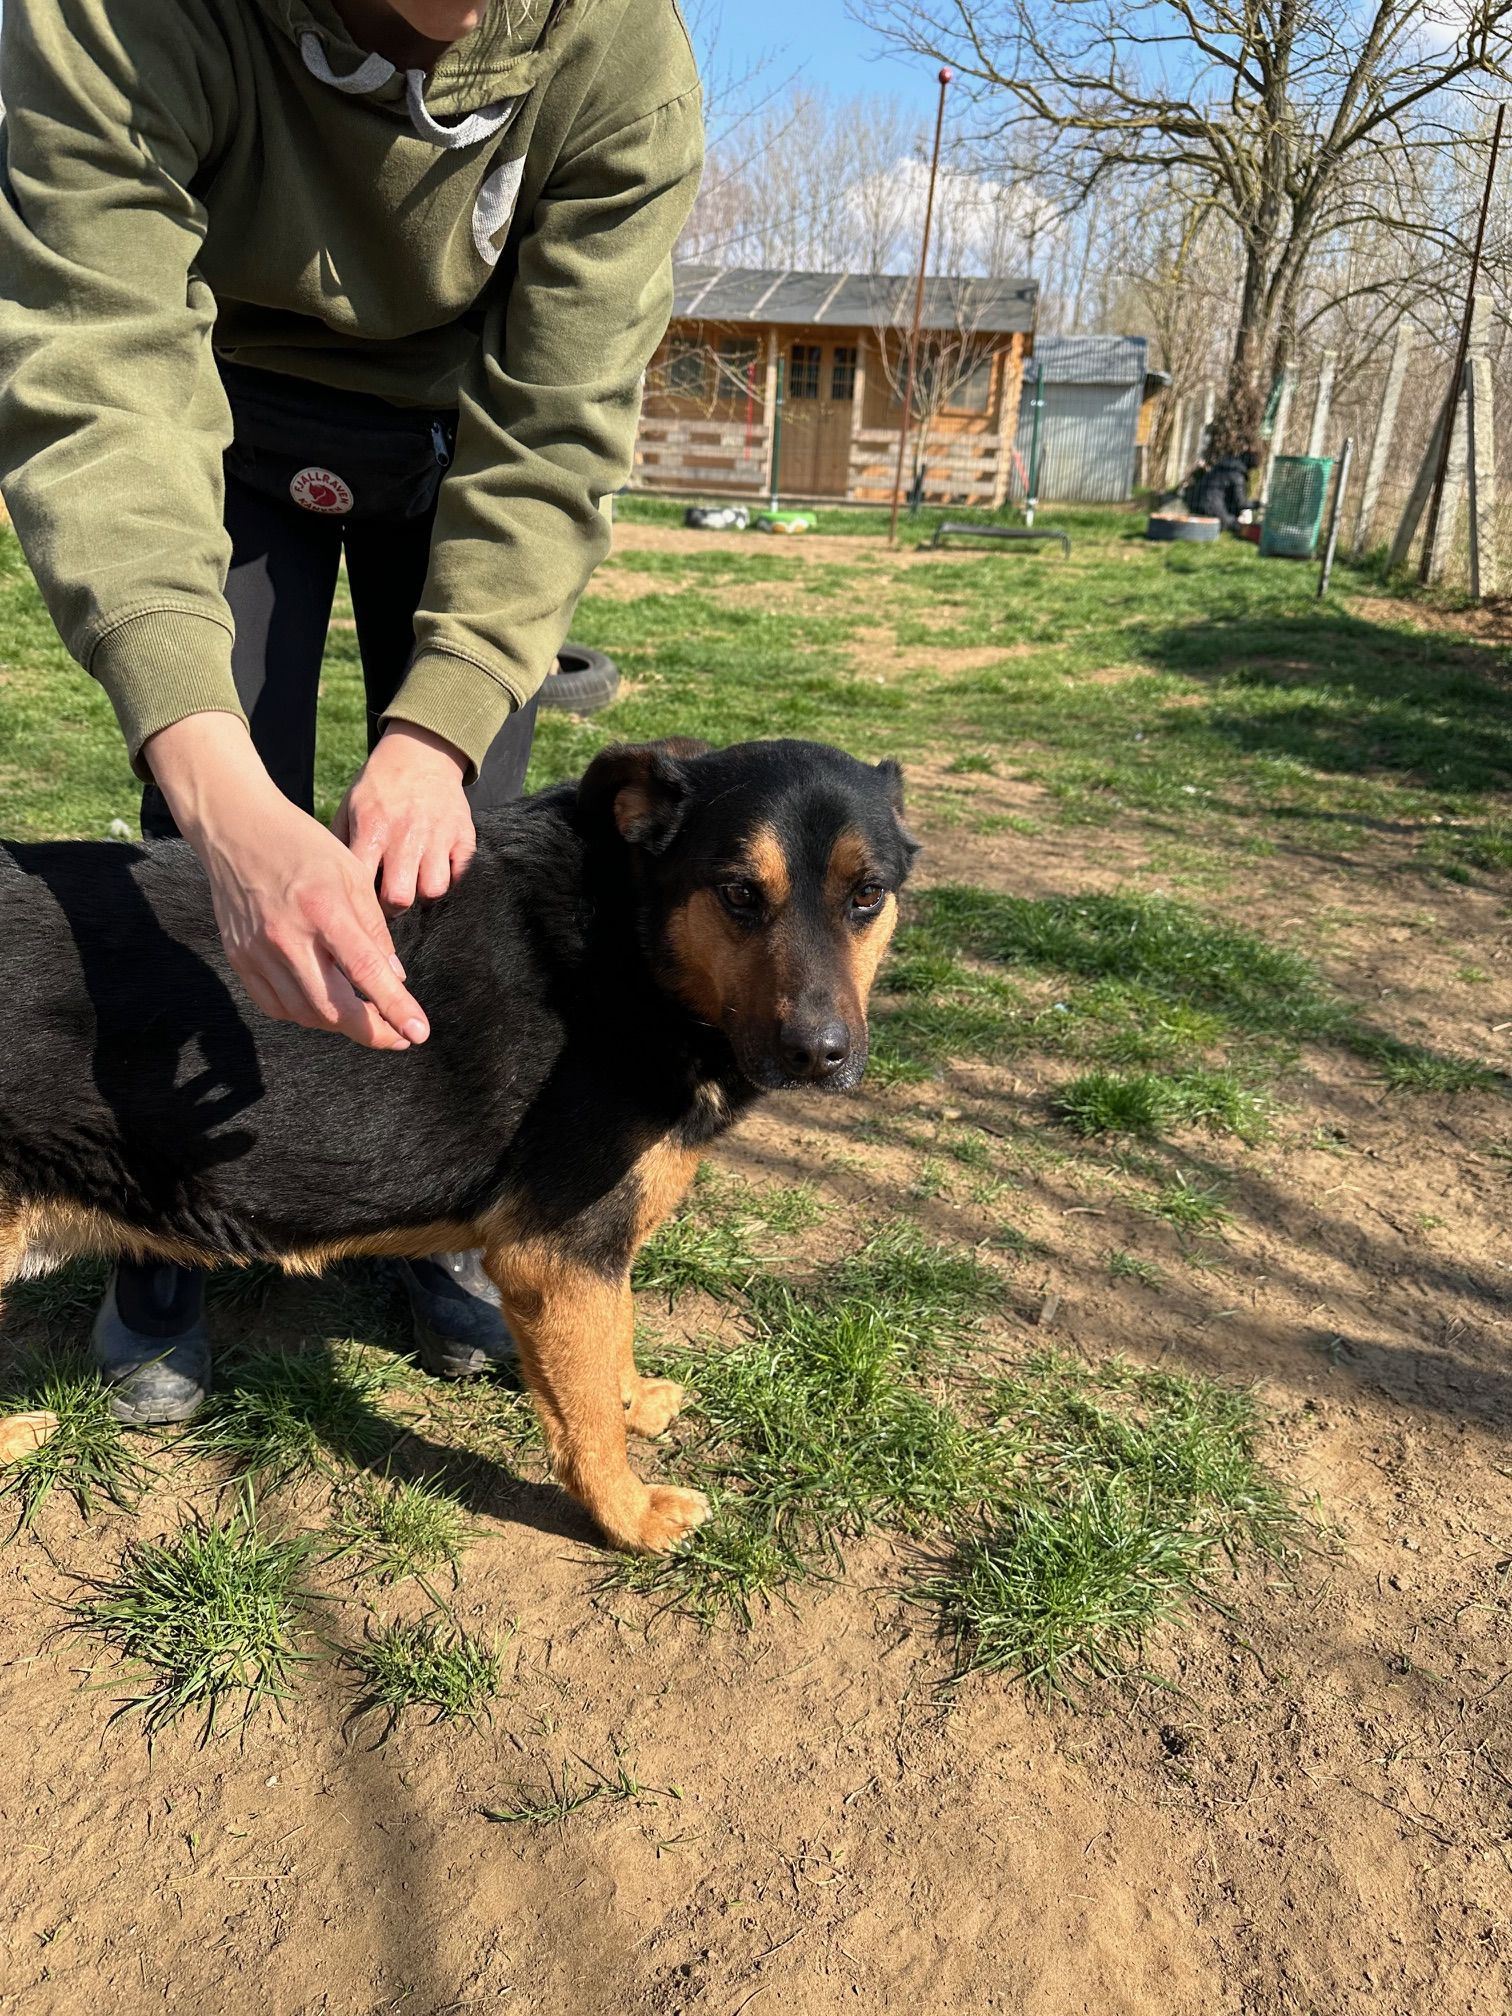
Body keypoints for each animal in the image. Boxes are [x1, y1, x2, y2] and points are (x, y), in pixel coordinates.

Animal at [0, 738, 917, 1554]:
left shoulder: (590, 1250)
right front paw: (626, 1515)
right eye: (736, 892)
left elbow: (613, 1342)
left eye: (868, 895)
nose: (819, 1055)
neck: (628, 942)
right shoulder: (555, 1253)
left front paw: (633, 1400)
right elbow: (586, 1416)